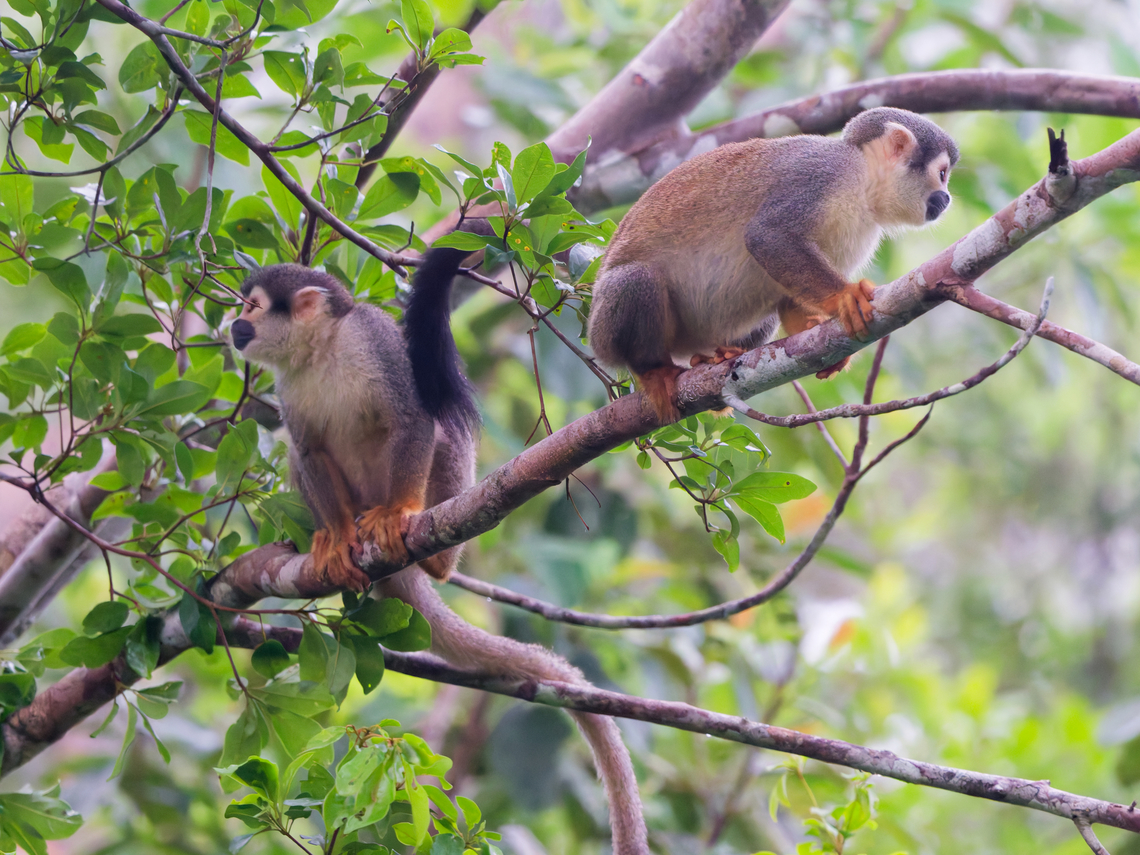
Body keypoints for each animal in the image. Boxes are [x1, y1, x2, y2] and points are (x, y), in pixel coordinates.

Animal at [231, 254, 649, 854]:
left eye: (252, 306)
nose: (234, 326)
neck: (322, 349)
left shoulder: (375, 339)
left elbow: (414, 418)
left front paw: (400, 513)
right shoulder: (288, 386)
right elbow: (307, 448)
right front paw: (333, 535)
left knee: (444, 426)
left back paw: (432, 558)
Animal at [587, 107, 959, 421]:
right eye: (941, 174)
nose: (946, 198)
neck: (864, 182)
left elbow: (788, 297)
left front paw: (810, 325)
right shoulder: (820, 173)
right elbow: (767, 236)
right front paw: (844, 297)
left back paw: (718, 357)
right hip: (603, 332)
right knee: (636, 278)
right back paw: (652, 368)